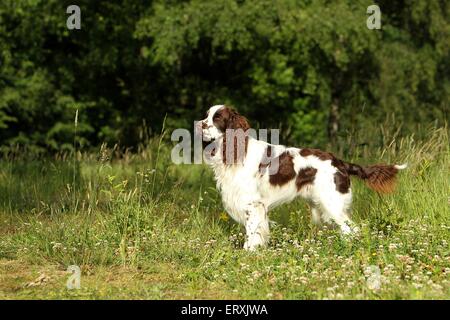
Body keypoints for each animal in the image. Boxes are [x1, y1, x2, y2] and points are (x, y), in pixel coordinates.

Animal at [195, 105, 406, 250]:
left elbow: (252, 231)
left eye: (217, 118)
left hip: (332, 203)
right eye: (206, 115)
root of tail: (340, 162)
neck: (236, 151)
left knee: (351, 230)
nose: (198, 124)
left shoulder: (252, 203)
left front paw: (249, 251)